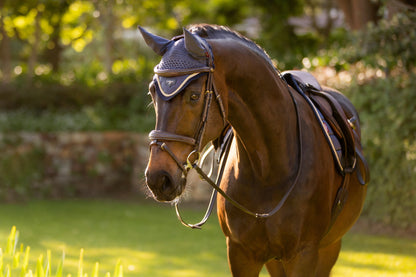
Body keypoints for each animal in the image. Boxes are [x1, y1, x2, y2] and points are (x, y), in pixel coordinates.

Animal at [140, 24, 368, 276]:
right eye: (152, 93)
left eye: (194, 96)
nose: (158, 178)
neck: (268, 169)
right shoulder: (241, 253)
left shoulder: (304, 255)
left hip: (329, 247)